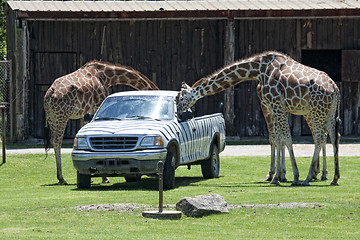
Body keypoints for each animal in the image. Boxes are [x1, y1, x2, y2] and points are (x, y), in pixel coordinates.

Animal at [177, 50, 340, 186]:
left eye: (180, 98)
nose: (178, 113)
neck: (258, 69)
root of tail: (334, 88)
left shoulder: (275, 104)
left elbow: (285, 139)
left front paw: (290, 176)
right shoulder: (275, 107)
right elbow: (278, 139)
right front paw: (277, 176)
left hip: (316, 110)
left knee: (320, 138)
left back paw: (308, 178)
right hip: (328, 111)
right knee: (333, 136)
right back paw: (333, 177)